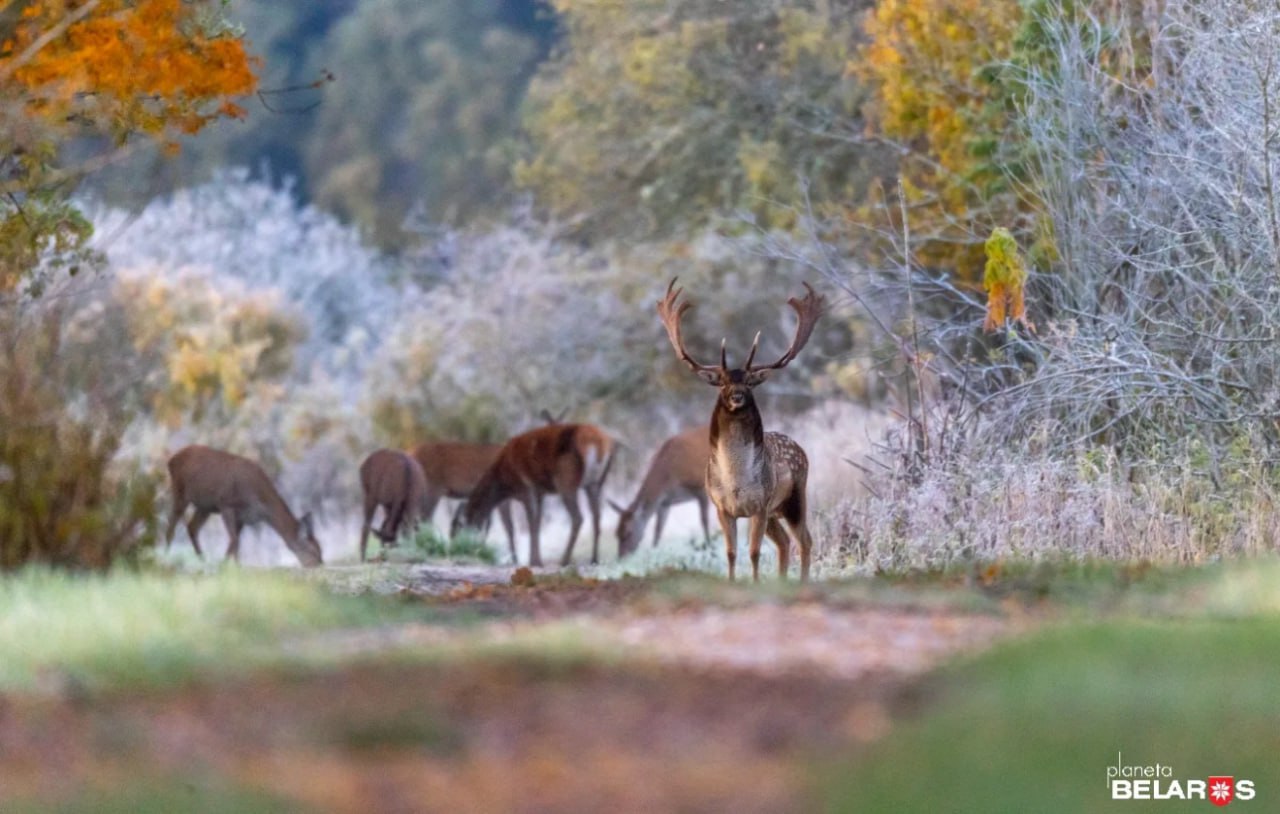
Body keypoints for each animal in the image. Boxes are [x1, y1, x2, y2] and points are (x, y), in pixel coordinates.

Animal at [163, 445, 325, 565]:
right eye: (313, 551)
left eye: (320, 550)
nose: (319, 565)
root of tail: (171, 460)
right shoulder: (226, 504)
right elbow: (234, 540)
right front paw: (226, 568)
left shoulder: (243, 518)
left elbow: (236, 542)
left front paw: (235, 569)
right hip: (180, 491)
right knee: (170, 527)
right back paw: (165, 560)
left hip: (205, 506)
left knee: (192, 527)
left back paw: (202, 561)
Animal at [458, 422, 616, 568]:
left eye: (467, 521)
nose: (468, 544)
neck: (505, 478)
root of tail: (599, 443)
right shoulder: (540, 492)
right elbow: (538, 521)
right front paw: (536, 560)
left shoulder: (527, 488)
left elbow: (531, 523)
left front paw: (534, 562)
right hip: (595, 483)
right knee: (596, 517)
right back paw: (594, 559)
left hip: (566, 480)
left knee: (578, 517)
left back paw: (564, 561)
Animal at [606, 424, 711, 552]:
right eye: (616, 533)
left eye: (628, 533)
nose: (622, 555)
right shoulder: (665, 502)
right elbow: (658, 529)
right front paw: (654, 550)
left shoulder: (701, 486)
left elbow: (705, 521)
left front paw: (709, 544)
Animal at [655, 277, 824, 578]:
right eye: (722, 382)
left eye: (748, 382)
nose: (737, 396)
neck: (736, 481)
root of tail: (799, 447)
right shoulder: (722, 508)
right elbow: (731, 553)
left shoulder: (760, 505)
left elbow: (754, 552)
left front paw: (755, 582)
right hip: (776, 510)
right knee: (784, 541)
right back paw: (782, 580)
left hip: (794, 496)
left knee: (804, 539)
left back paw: (801, 580)